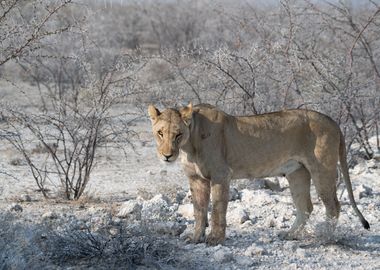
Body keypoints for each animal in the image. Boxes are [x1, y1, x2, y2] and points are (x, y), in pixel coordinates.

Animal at [148, 103, 368, 245]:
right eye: (160, 133)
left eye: (178, 134)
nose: (167, 156)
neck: (189, 145)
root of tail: (333, 121)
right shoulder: (196, 179)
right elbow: (199, 211)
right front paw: (195, 238)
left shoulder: (221, 175)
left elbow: (217, 210)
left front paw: (215, 239)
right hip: (297, 172)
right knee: (306, 207)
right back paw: (290, 235)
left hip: (322, 169)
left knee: (333, 207)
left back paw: (325, 237)